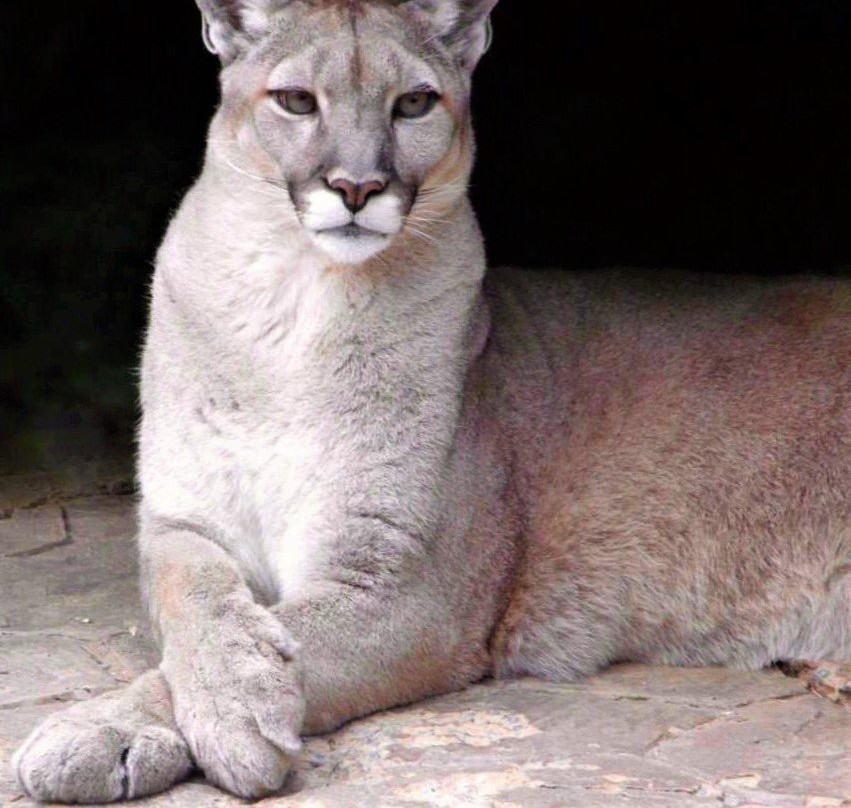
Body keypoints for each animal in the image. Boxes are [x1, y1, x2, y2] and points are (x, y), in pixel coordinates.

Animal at [13, 0, 851, 804]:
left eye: (413, 103)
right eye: (295, 100)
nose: (355, 187)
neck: (295, 302)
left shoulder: (406, 589)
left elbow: (262, 646)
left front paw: (181, 722)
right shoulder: (181, 521)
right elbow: (193, 603)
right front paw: (154, 718)